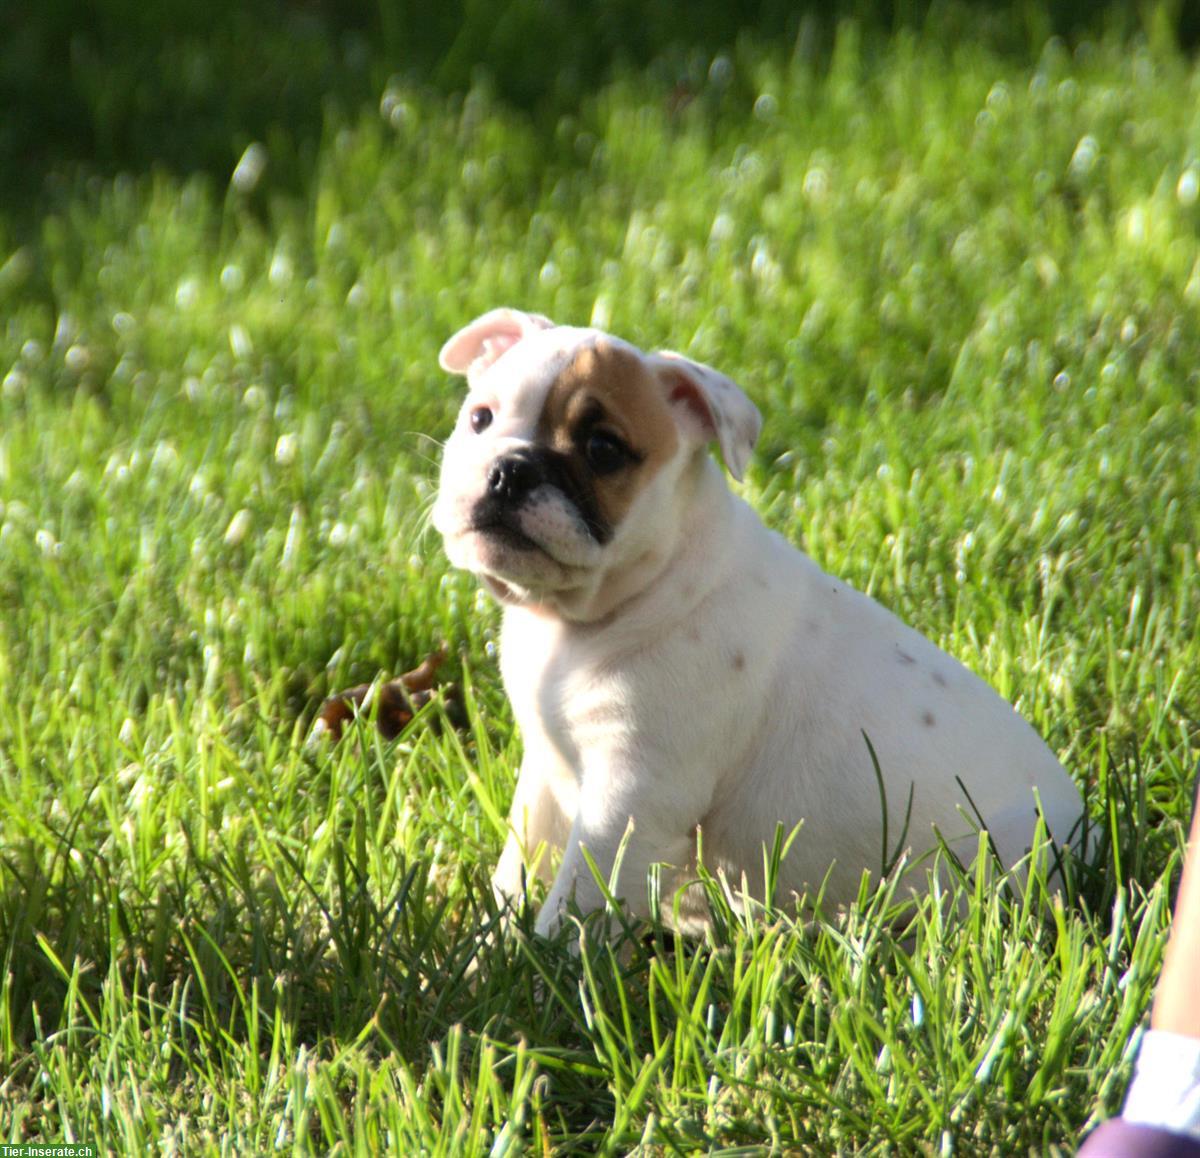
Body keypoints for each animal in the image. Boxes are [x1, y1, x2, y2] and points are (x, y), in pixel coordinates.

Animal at [434, 309, 1089, 940]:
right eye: (480, 418)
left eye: (603, 449)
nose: (510, 470)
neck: (588, 614)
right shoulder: (546, 779)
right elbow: (516, 868)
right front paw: (492, 949)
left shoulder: (631, 797)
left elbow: (579, 901)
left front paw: (544, 967)